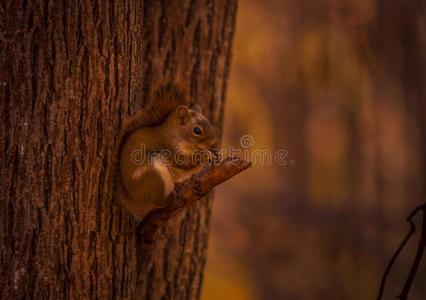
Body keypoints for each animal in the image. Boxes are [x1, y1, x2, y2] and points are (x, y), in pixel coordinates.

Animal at [115, 83, 218, 219]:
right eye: (197, 130)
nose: (213, 143)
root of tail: (135, 202)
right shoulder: (170, 148)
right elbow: (184, 162)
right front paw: (206, 154)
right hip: (153, 175)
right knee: (158, 200)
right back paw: (168, 198)